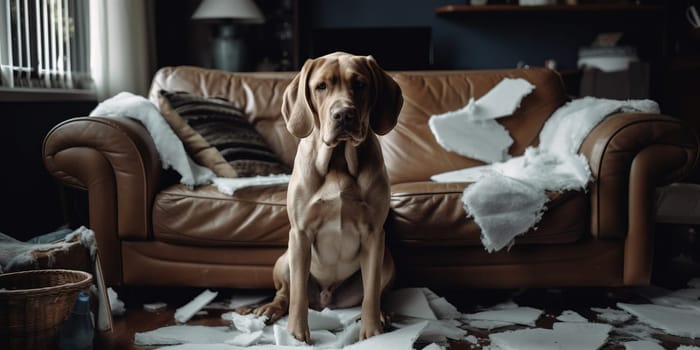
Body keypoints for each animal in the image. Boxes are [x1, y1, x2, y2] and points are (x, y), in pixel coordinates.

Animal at [253, 52, 404, 342]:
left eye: (360, 84)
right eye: (321, 86)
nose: (343, 115)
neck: (339, 161)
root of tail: (326, 299)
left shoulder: (373, 234)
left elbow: (371, 293)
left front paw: (372, 332)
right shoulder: (300, 233)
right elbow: (298, 296)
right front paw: (296, 335)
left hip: (388, 260)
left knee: (377, 292)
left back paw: (382, 314)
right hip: (285, 259)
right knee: (285, 293)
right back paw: (269, 308)